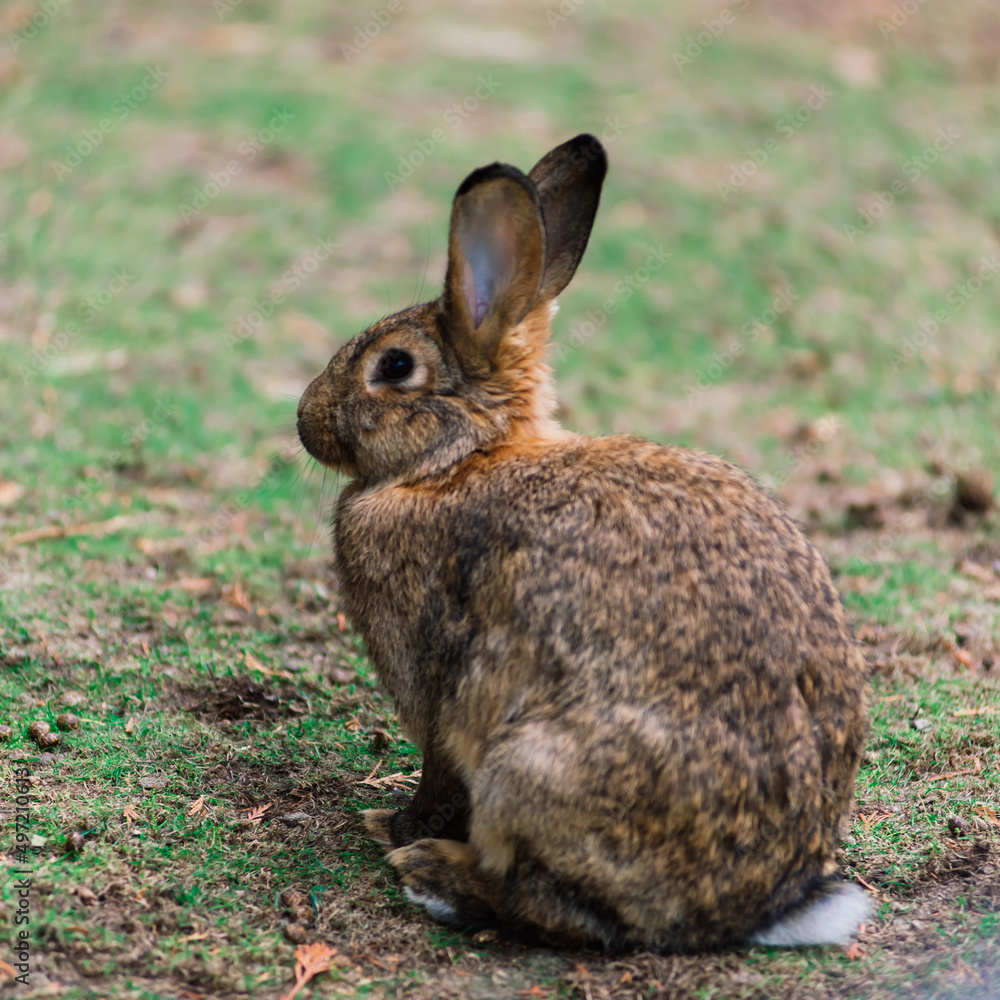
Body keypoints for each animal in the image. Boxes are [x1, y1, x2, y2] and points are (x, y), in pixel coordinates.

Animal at [296, 133, 870, 952]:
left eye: (395, 367)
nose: (304, 420)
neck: (458, 462)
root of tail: (764, 904)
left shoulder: (437, 685)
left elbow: (436, 772)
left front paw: (391, 825)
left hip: (527, 768)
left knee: (565, 911)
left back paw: (437, 876)